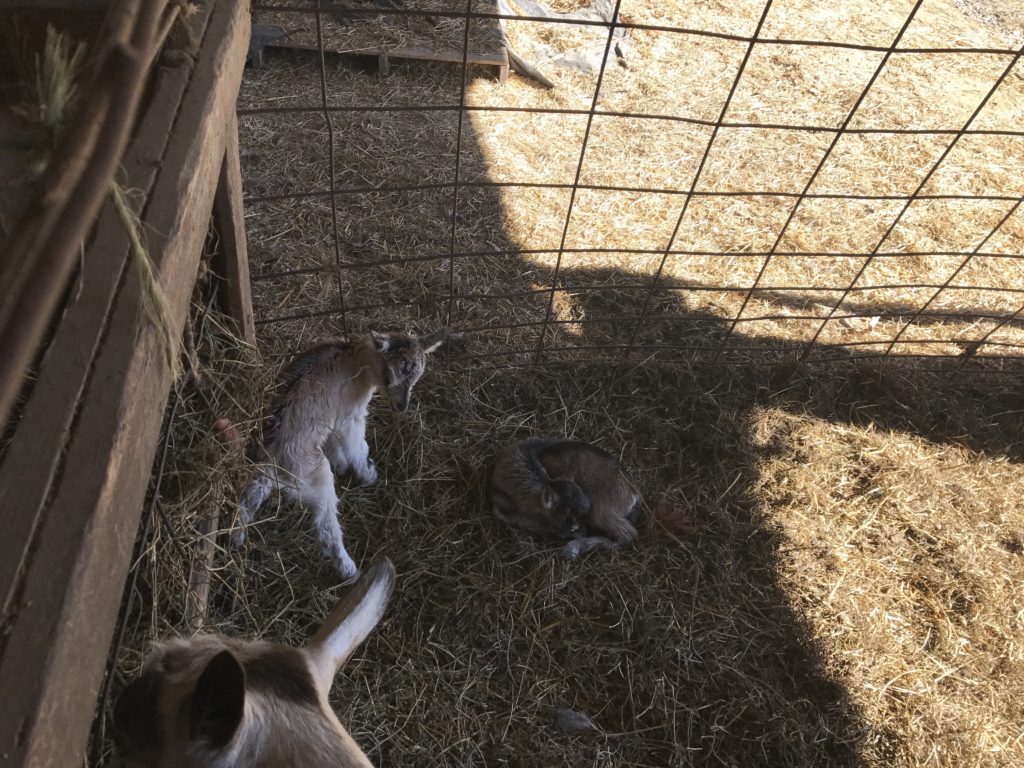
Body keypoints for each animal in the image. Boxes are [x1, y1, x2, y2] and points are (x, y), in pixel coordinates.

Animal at [241, 329, 450, 577]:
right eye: (388, 377)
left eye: (416, 378)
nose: (402, 407)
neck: (355, 359)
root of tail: (272, 461)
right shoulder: (350, 415)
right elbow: (356, 445)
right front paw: (368, 473)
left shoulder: (332, 418)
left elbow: (335, 443)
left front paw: (341, 465)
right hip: (314, 475)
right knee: (326, 526)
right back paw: (348, 569)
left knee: (250, 496)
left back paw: (235, 538)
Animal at [487, 438, 638, 561]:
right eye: (569, 520)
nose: (584, 532)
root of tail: (634, 493)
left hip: (602, 508)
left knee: (628, 535)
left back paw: (573, 548)